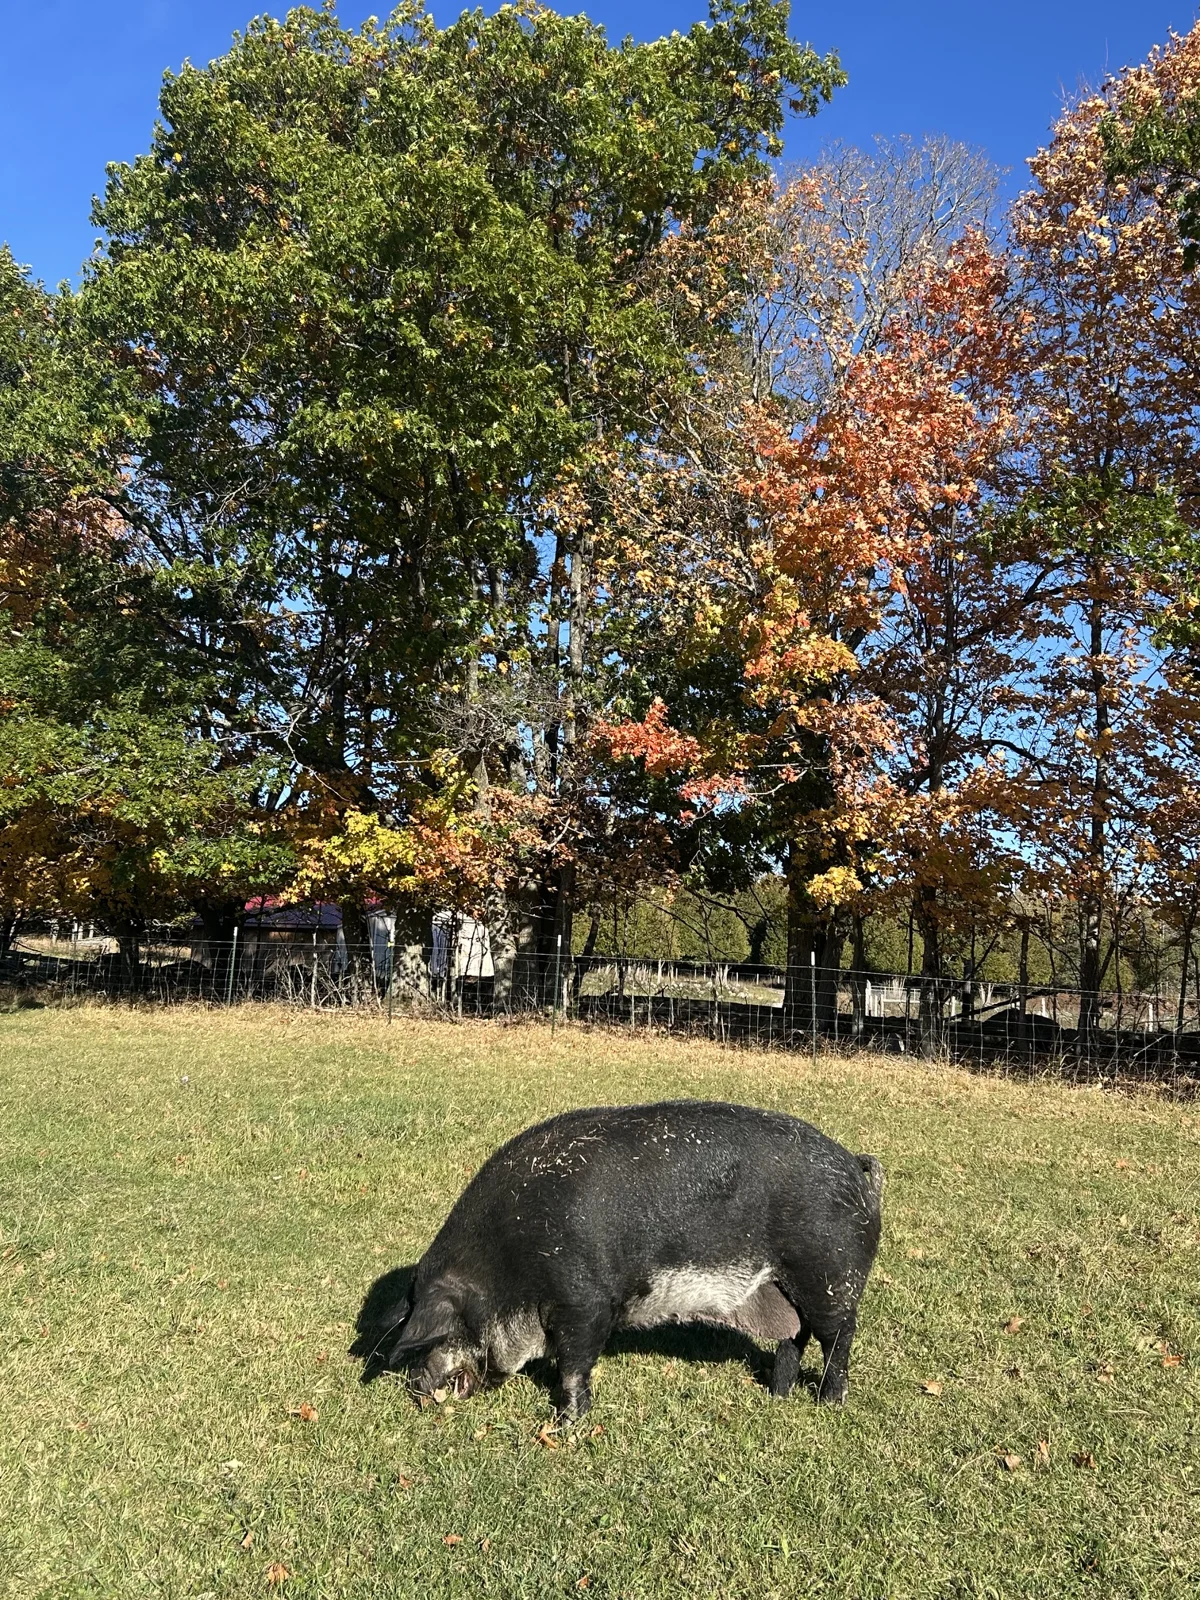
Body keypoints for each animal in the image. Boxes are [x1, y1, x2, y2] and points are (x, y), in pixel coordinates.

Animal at [364, 1099, 883, 1421]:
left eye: (440, 1332)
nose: (415, 1386)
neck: (508, 1268)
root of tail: (859, 1167)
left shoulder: (586, 1302)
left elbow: (574, 1364)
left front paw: (566, 1423)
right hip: (784, 1289)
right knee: (794, 1338)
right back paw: (776, 1395)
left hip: (831, 1276)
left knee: (838, 1339)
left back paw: (828, 1403)